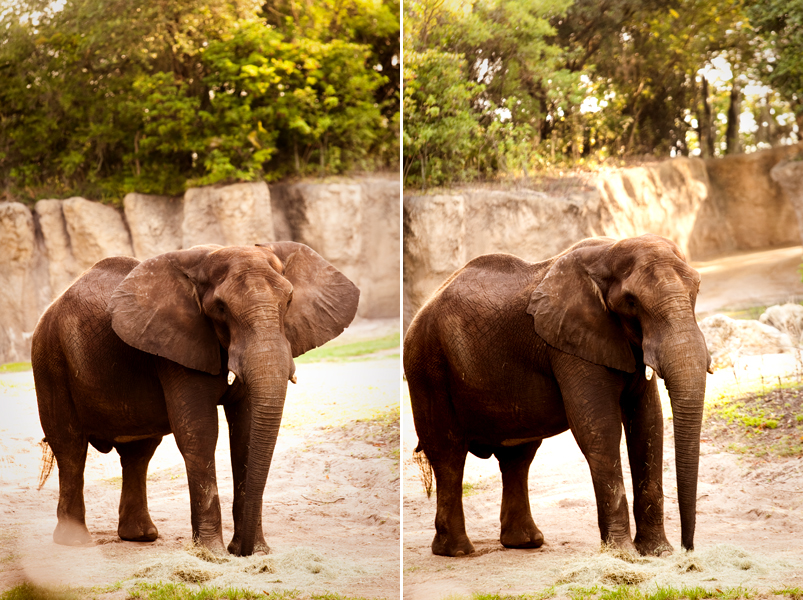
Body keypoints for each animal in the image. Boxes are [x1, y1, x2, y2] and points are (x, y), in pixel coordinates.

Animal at [31, 241, 358, 556]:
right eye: (221, 308)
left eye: (288, 301)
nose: (243, 552)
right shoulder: (176, 346)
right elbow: (199, 433)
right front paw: (214, 554)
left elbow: (245, 433)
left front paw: (254, 552)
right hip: (49, 358)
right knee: (70, 447)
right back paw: (75, 541)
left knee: (139, 453)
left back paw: (141, 536)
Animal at [406, 234, 712, 556]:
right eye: (631, 302)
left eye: (697, 288)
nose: (688, 548)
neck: (608, 251)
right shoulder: (569, 344)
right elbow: (599, 429)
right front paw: (624, 555)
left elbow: (648, 423)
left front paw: (658, 553)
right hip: (428, 368)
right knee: (449, 454)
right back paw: (457, 551)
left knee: (517, 457)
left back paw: (525, 542)